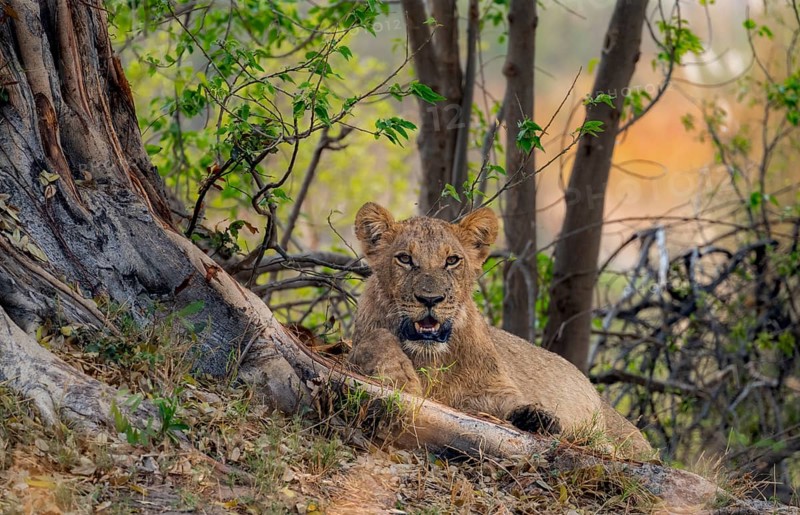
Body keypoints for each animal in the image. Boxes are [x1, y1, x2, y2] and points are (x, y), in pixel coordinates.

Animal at [348, 202, 653, 458]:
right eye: (404, 259)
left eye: (452, 261)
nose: (431, 299)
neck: (430, 358)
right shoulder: (361, 341)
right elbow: (374, 339)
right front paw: (402, 377)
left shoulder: (492, 388)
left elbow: (508, 402)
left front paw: (536, 417)